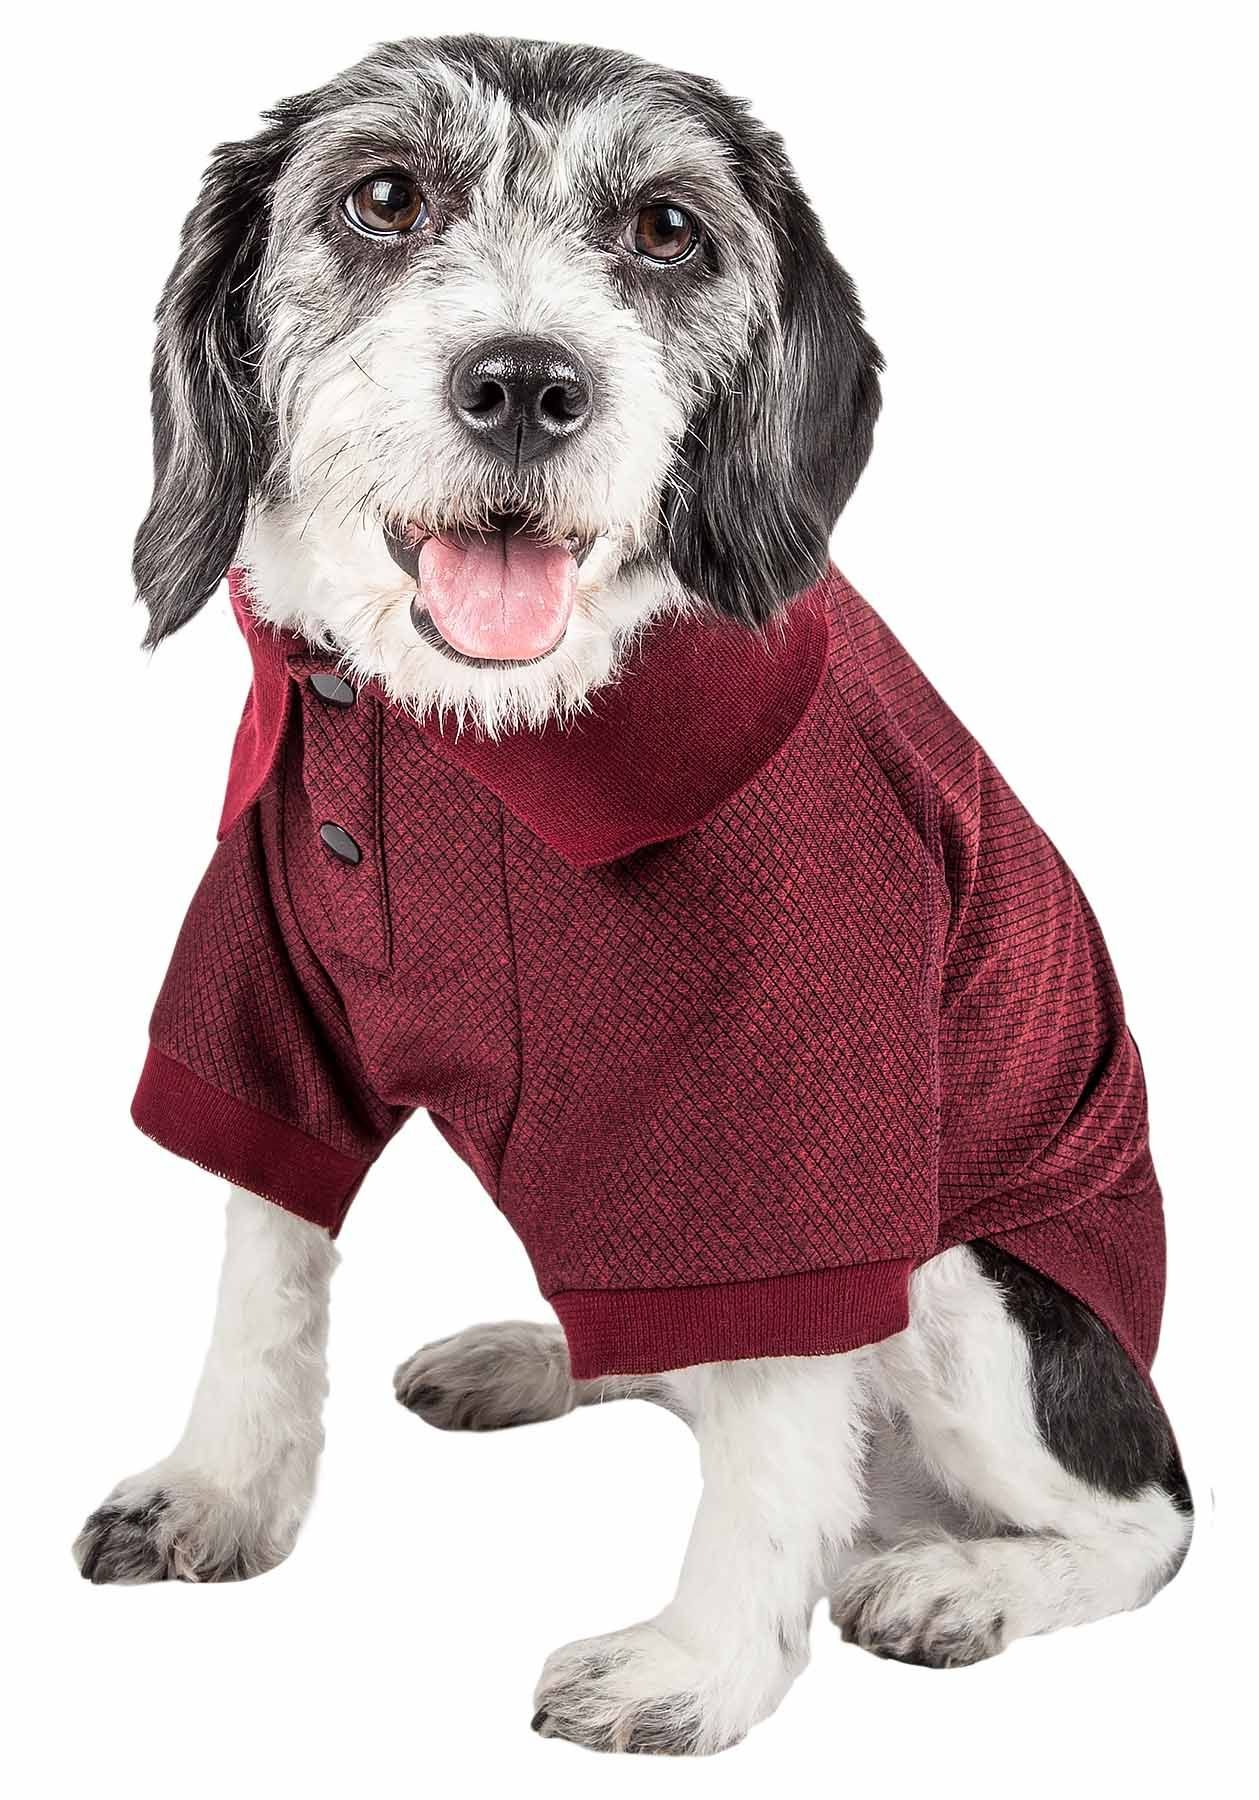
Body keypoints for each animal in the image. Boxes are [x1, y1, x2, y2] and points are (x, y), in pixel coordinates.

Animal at [74, 34, 1191, 1755]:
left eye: (666, 228)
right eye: (382, 196)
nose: (527, 383)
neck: (488, 729)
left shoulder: (792, 1114)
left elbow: (775, 1408)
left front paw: (702, 1669)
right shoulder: (263, 985)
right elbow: (264, 1260)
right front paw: (216, 1492)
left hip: (974, 1292)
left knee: (1141, 1518)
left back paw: (960, 1581)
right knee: (657, 1351)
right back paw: (530, 1356)